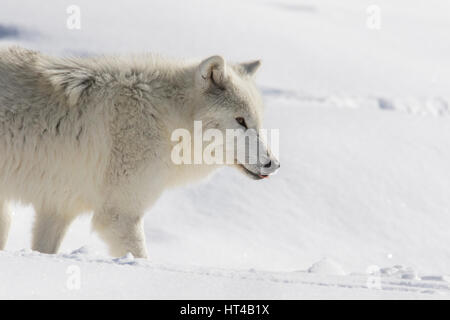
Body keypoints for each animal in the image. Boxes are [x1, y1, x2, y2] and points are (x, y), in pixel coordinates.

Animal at [0, 47, 278, 258]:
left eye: (257, 122)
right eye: (240, 121)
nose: (272, 164)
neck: (166, 121)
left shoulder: (57, 208)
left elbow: (45, 250)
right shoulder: (120, 215)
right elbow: (140, 257)